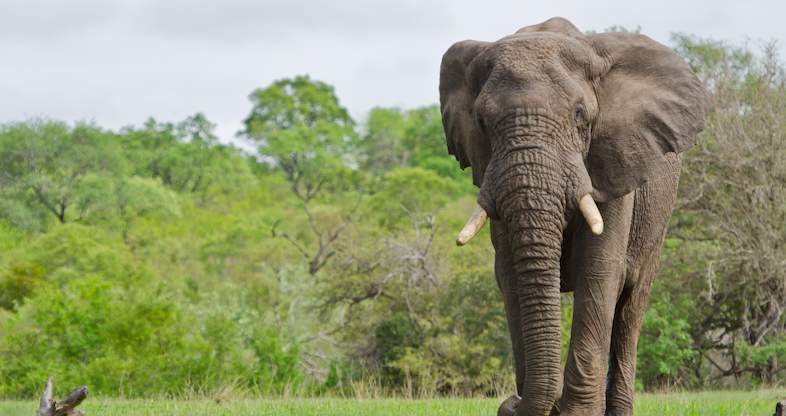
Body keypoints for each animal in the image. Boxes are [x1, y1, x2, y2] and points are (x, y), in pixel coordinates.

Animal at [439, 17, 707, 416]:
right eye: (482, 122)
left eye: (580, 115)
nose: (509, 404)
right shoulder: (492, 174)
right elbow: (510, 276)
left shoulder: (613, 162)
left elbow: (599, 272)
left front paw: (577, 412)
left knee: (631, 308)